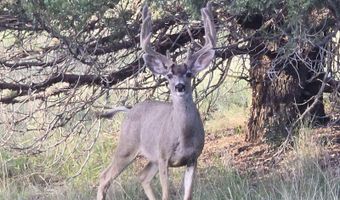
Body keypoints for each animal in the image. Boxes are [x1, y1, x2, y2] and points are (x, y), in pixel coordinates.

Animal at [97, 3, 216, 200]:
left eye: (189, 74)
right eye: (169, 75)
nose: (179, 86)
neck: (183, 136)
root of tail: (129, 110)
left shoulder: (193, 158)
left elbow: (188, 195)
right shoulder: (163, 156)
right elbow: (166, 194)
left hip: (148, 157)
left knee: (142, 176)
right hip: (126, 146)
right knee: (104, 176)